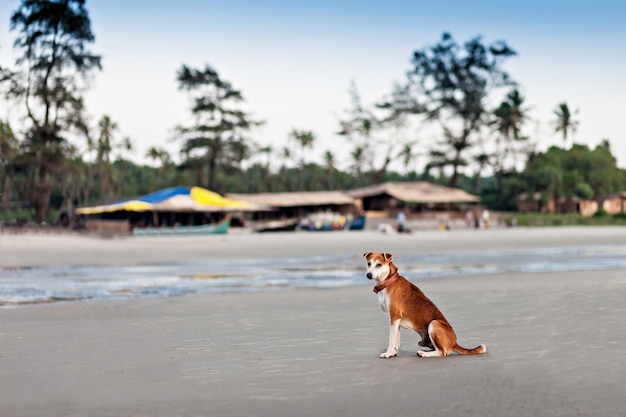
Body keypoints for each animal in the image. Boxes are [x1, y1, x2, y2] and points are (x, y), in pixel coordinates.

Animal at [360, 250, 488, 358]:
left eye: (379, 265)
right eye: (369, 263)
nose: (368, 275)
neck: (388, 281)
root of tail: (454, 343)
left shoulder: (394, 316)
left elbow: (391, 340)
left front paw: (387, 354)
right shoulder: (396, 321)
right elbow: (396, 340)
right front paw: (393, 353)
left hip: (434, 323)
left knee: (443, 352)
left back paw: (424, 354)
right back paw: (425, 351)